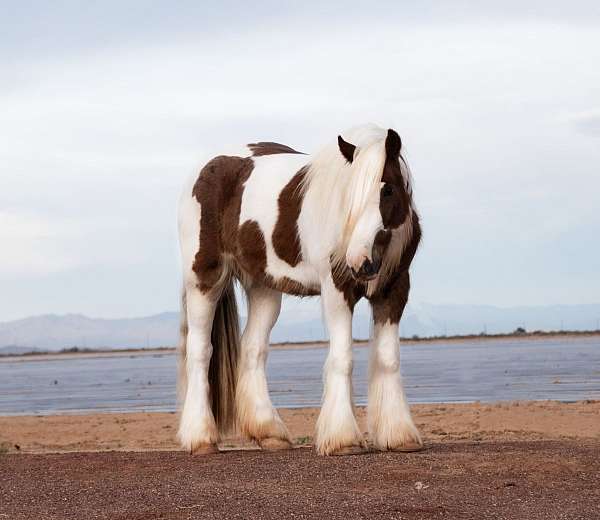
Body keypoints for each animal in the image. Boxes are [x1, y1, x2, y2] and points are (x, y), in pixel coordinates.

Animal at [177, 125, 422, 456]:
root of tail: (206, 168)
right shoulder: (337, 289)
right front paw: (344, 439)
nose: (360, 261)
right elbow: (343, 357)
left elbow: (388, 358)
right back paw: (201, 439)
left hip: (264, 288)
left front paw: (399, 436)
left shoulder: (395, 289)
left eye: (387, 190)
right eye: (348, 194)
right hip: (203, 280)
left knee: (253, 349)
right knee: (200, 351)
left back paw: (270, 433)